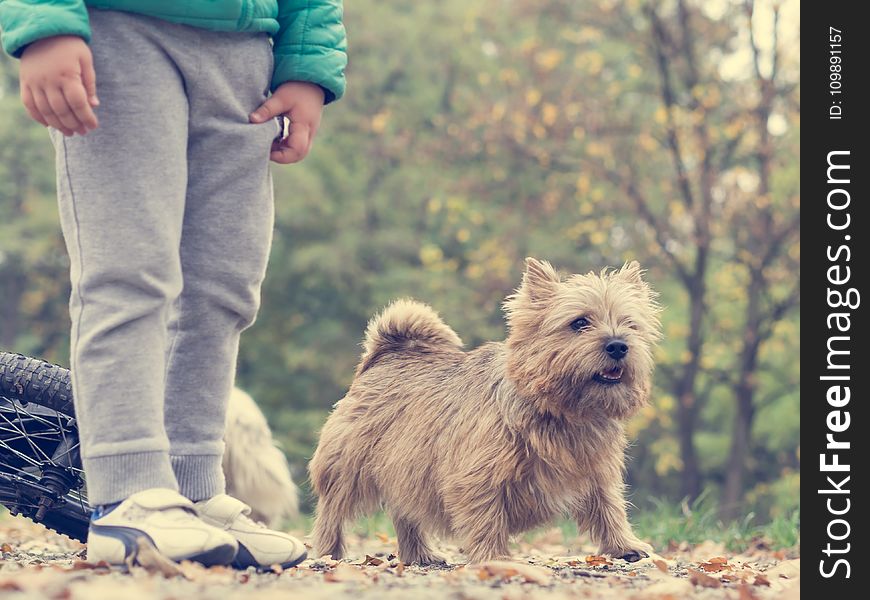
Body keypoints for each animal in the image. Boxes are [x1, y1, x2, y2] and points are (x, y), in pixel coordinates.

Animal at [310, 260, 664, 564]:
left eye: (630, 324)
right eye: (579, 323)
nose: (618, 345)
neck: (564, 410)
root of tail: (387, 355)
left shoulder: (597, 469)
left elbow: (610, 507)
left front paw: (625, 545)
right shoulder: (477, 474)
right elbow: (485, 514)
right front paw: (494, 556)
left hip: (405, 470)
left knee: (405, 514)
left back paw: (419, 554)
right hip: (346, 467)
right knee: (332, 511)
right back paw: (327, 553)